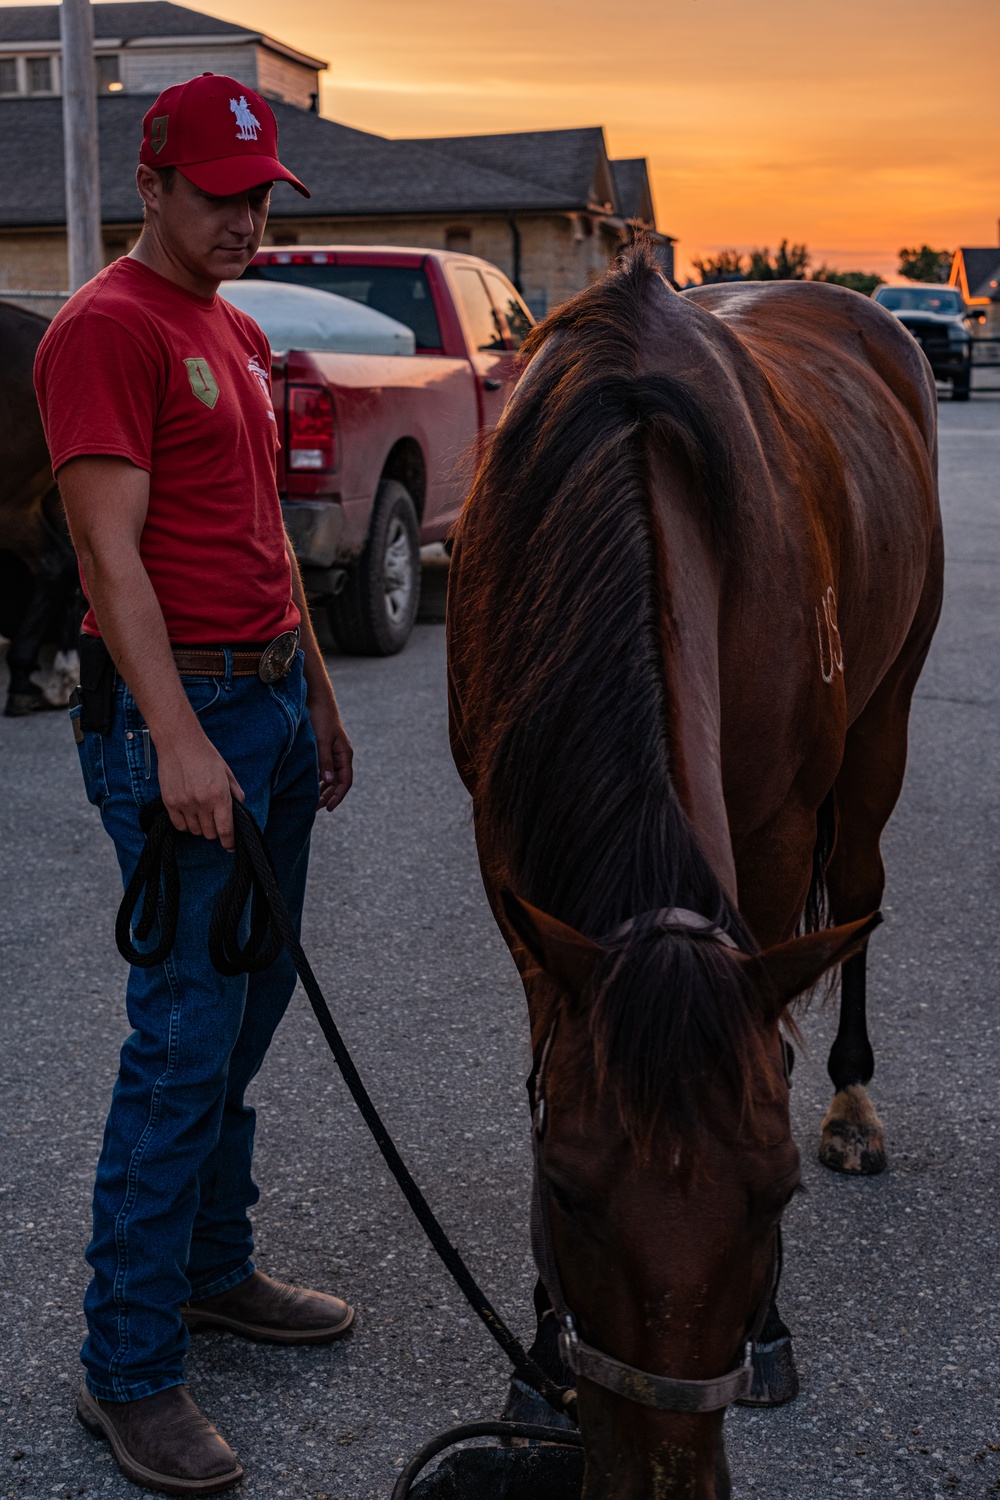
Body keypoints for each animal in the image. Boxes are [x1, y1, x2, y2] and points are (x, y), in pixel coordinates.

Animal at [449, 249, 941, 1500]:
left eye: (774, 1194)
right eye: (565, 1187)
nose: (657, 1478)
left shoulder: (769, 837)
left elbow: (768, 1044)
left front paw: (769, 1331)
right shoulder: (507, 857)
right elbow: (546, 1056)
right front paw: (541, 1348)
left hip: (878, 729)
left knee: (859, 893)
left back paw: (854, 1104)